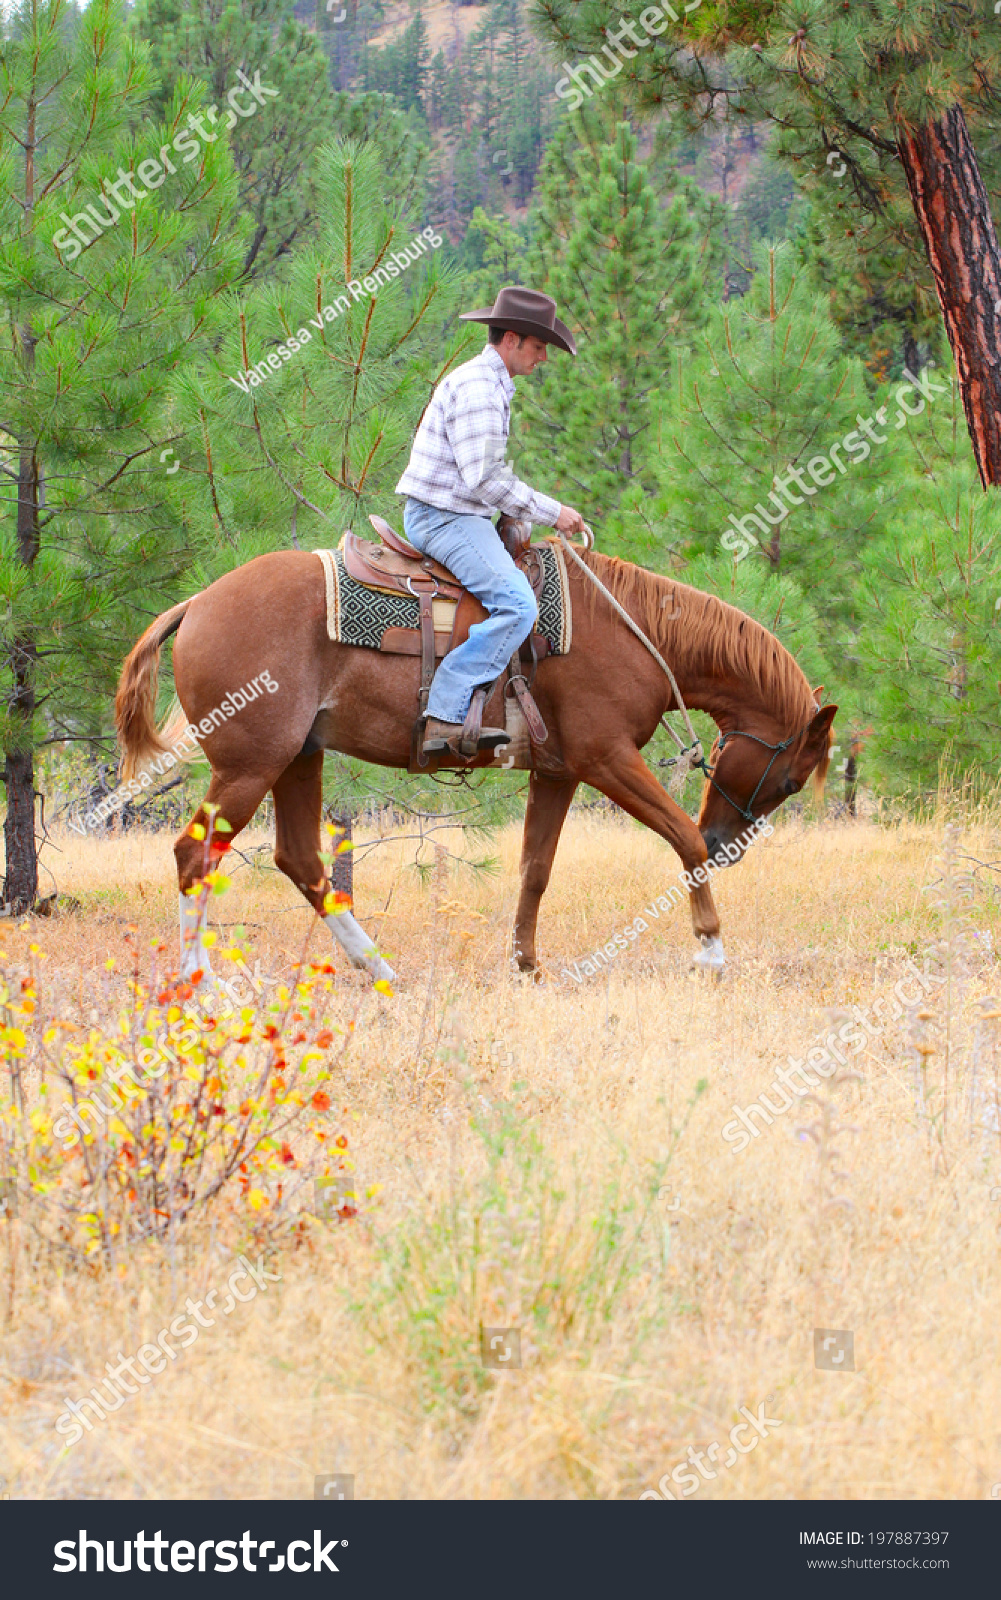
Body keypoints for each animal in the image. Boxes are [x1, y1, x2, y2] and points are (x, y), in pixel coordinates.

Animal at [115, 544, 831, 979]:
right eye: (792, 781)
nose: (729, 843)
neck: (632, 630)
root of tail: (200, 602)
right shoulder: (607, 759)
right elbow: (682, 839)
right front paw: (711, 949)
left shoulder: (559, 770)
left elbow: (535, 870)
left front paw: (527, 965)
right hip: (249, 767)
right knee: (196, 855)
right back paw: (201, 983)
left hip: (297, 759)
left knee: (299, 859)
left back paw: (380, 969)